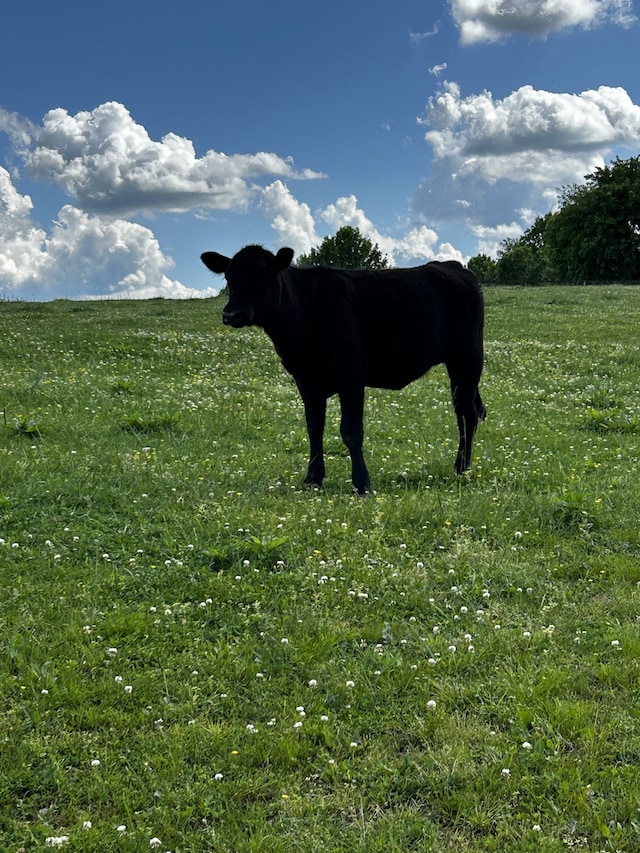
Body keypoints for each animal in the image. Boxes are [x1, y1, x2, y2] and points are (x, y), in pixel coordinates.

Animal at [202, 243, 488, 492]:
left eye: (259, 277)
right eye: (228, 278)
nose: (231, 314)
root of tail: (454, 267)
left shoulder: (351, 377)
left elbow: (350, 432)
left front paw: (361, 483)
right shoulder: (306, 381)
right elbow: (314, 428)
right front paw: (313, 477)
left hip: (467, 358)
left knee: (467, 414)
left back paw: (462, 467)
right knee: (463, 412)